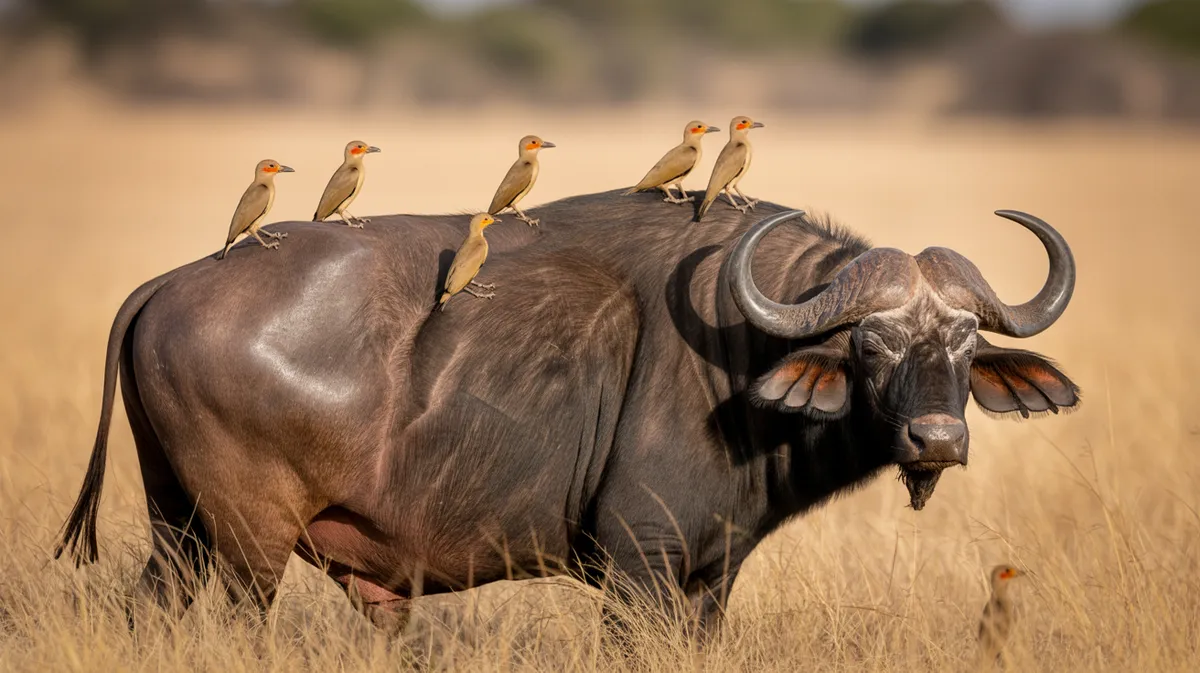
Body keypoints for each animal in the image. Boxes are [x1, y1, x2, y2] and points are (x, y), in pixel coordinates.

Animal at [56, 190, 1079, 633]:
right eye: (870, 343)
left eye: (965, 343)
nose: (937, 438)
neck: (741, 358)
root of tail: (174, 281)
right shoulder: (639, 568)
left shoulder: (710, 579)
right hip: (247, 549)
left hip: (179, 528)